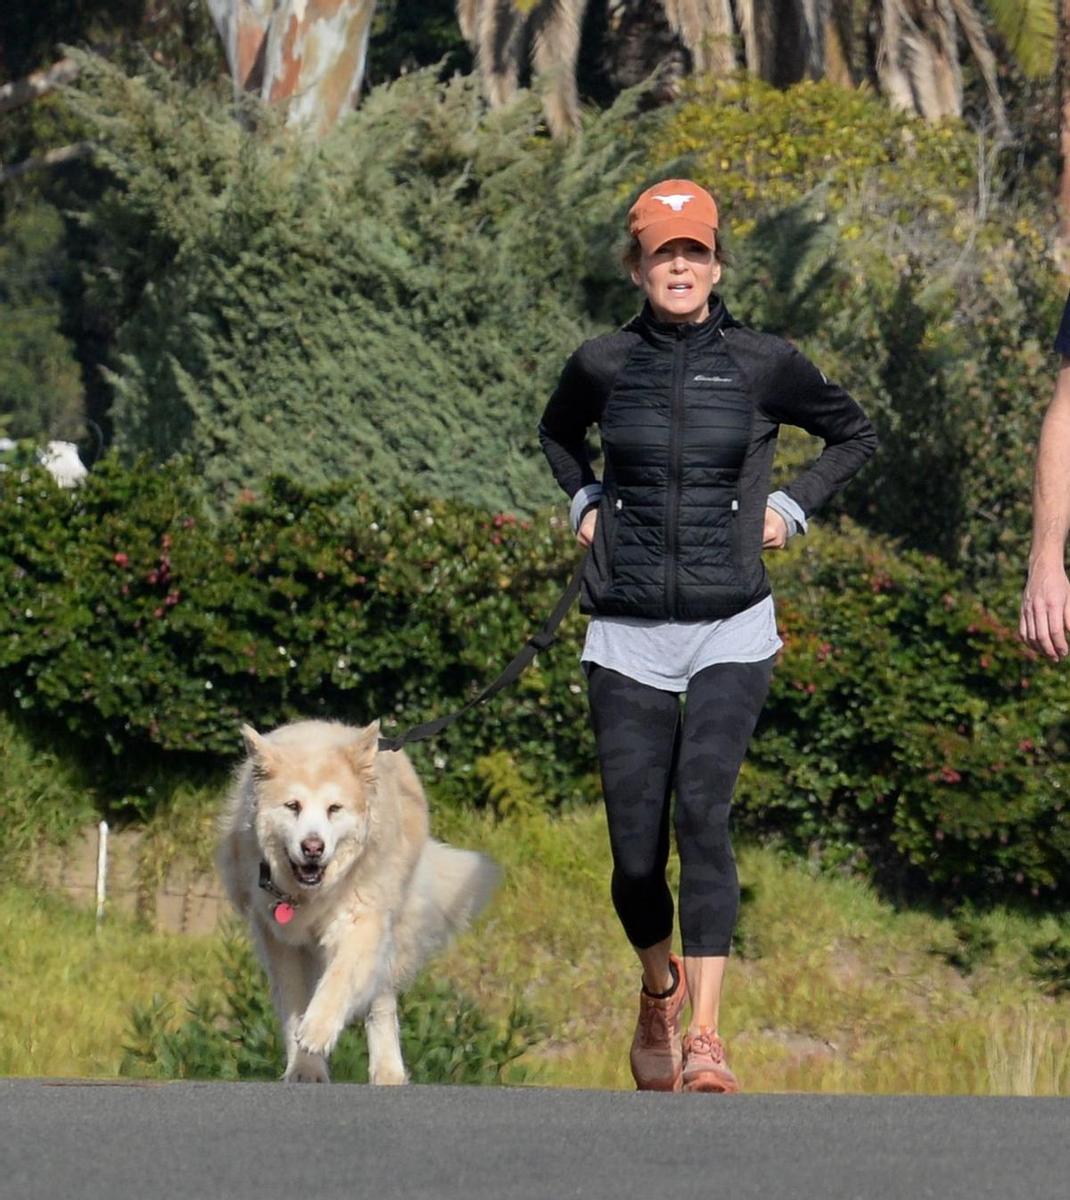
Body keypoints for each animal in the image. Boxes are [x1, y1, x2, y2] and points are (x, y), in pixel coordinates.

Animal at [220, 720, 501, 1089]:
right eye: (293, 806)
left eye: (334, 809)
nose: (313, 847)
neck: (311, 894)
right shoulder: (281, 941)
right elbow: (294, 1001)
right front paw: (305, 1066)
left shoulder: (362, 921)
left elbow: (340, 978)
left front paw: (317, 1030)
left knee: (380, 1003)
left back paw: (388, 1070)